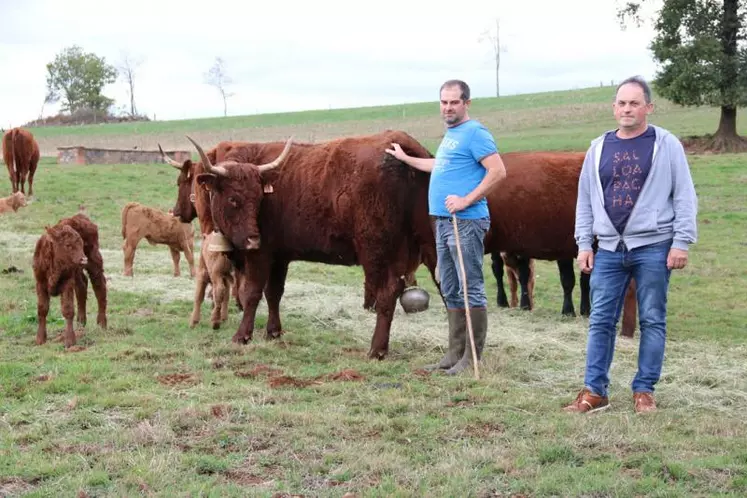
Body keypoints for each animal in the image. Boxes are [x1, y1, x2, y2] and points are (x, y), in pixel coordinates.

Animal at [190, 130, 442, 360]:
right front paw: (273, 331)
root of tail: (404, 143)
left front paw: (242, 336)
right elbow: (274, 293)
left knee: (387, 292)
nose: (253, 239)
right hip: (429, 243)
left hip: (377, 250)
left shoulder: (260, 255)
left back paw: (376, 349)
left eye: (259, 198)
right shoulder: (279, 256)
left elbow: (252, 292)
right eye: (234, 199)